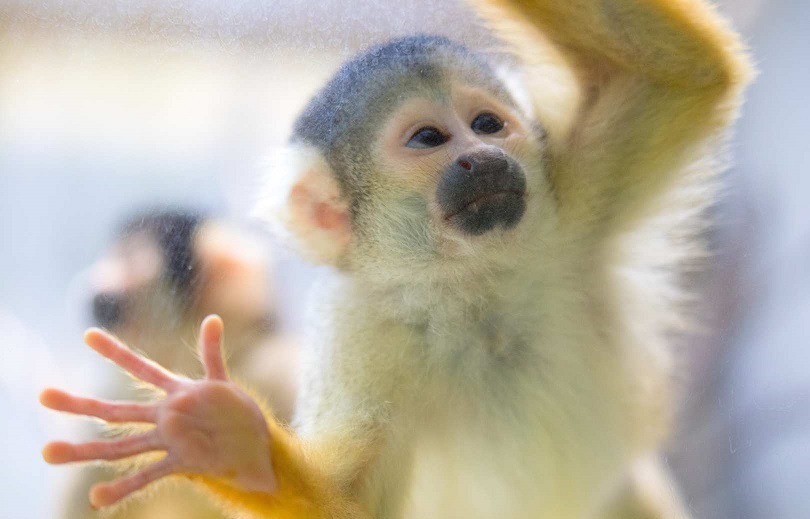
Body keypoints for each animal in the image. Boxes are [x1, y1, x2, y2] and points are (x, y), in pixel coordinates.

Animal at [42, 0, 752, 516]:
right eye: (429, 138)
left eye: (487, 124)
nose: (481, 158)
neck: (471, 287)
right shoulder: (359, 337)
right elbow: (353, 503)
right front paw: (225, 442)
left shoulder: (571, 194)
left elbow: (679, 73)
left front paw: (218, 435)